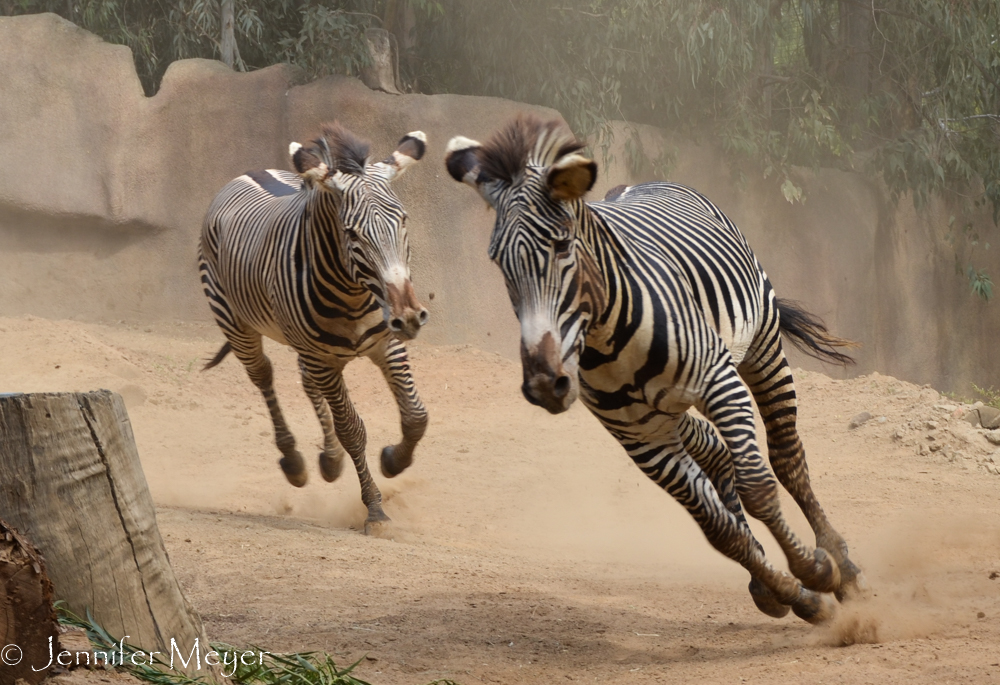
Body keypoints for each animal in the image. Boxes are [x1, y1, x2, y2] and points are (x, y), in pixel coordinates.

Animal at [198, 123, 426, 536]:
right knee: (263, 374)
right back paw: (294, 460)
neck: (354, 294)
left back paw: (330, 461)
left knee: (304, 380)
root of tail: (247, 173)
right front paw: (375, 510)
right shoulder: (323, 358)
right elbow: (353, 430)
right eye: (352, 234)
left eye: (403, 221)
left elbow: (416, 417)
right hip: (236, 322)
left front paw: (393, 460)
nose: (411, 317)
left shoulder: (387, 343)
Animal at [448, 115, 868, 624]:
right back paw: (769, 585)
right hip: (668, 410)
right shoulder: (641, 437)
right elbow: (719, 530)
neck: (607, 341)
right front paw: (796, 594)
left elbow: (758, 486)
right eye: (497, 262)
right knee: (716, 452)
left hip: (761, 346)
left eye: (563, 245)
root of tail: (636, 184)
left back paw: (843, 566)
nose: (545, 384)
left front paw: (817, 573)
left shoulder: (719, 381)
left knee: (786, 459)